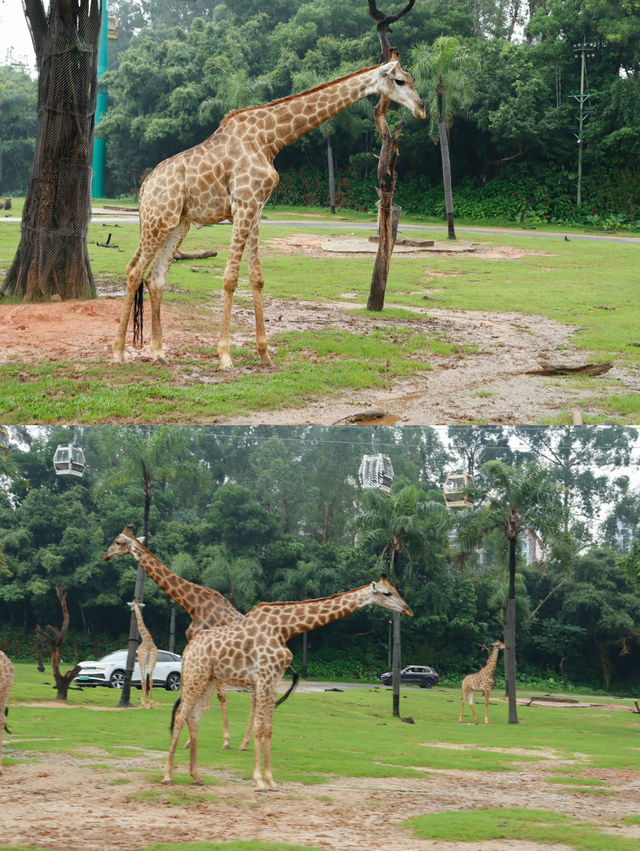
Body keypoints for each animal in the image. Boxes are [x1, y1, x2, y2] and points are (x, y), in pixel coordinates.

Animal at [104, 524, 252, 752]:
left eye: (118, 542)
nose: (106, 555)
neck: (193, 605)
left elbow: (216, 695)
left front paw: (224, 740)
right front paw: (191, 740)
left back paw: (244, 742)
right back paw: (245, 742)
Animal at [111, 60, 424, 366]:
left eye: (411, 79)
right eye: (399, 81)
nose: (421, 108)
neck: (270, 138)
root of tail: (145, 187)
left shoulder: (256, 209)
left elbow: (257, 278)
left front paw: (265, 354)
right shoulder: (244, 204)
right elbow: (230, 278)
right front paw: (225, 356)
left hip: (178, 223)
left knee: (156, 278)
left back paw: (159, 353)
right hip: (158, 219)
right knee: (133, 270)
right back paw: (119, 353)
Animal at [162, 580, 412, 792]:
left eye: (397, 590)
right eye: (387, 593)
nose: (407, 610)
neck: (286, 629)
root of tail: (189, 647)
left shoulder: (274, 681)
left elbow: (269, 729)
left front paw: (271, 781)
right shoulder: (263, 677)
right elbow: (259, 728)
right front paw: (258, 782)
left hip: (209, 679)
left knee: (194, 716)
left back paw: (196, 777)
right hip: (196, 674)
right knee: (181, 714)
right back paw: (168, 776)